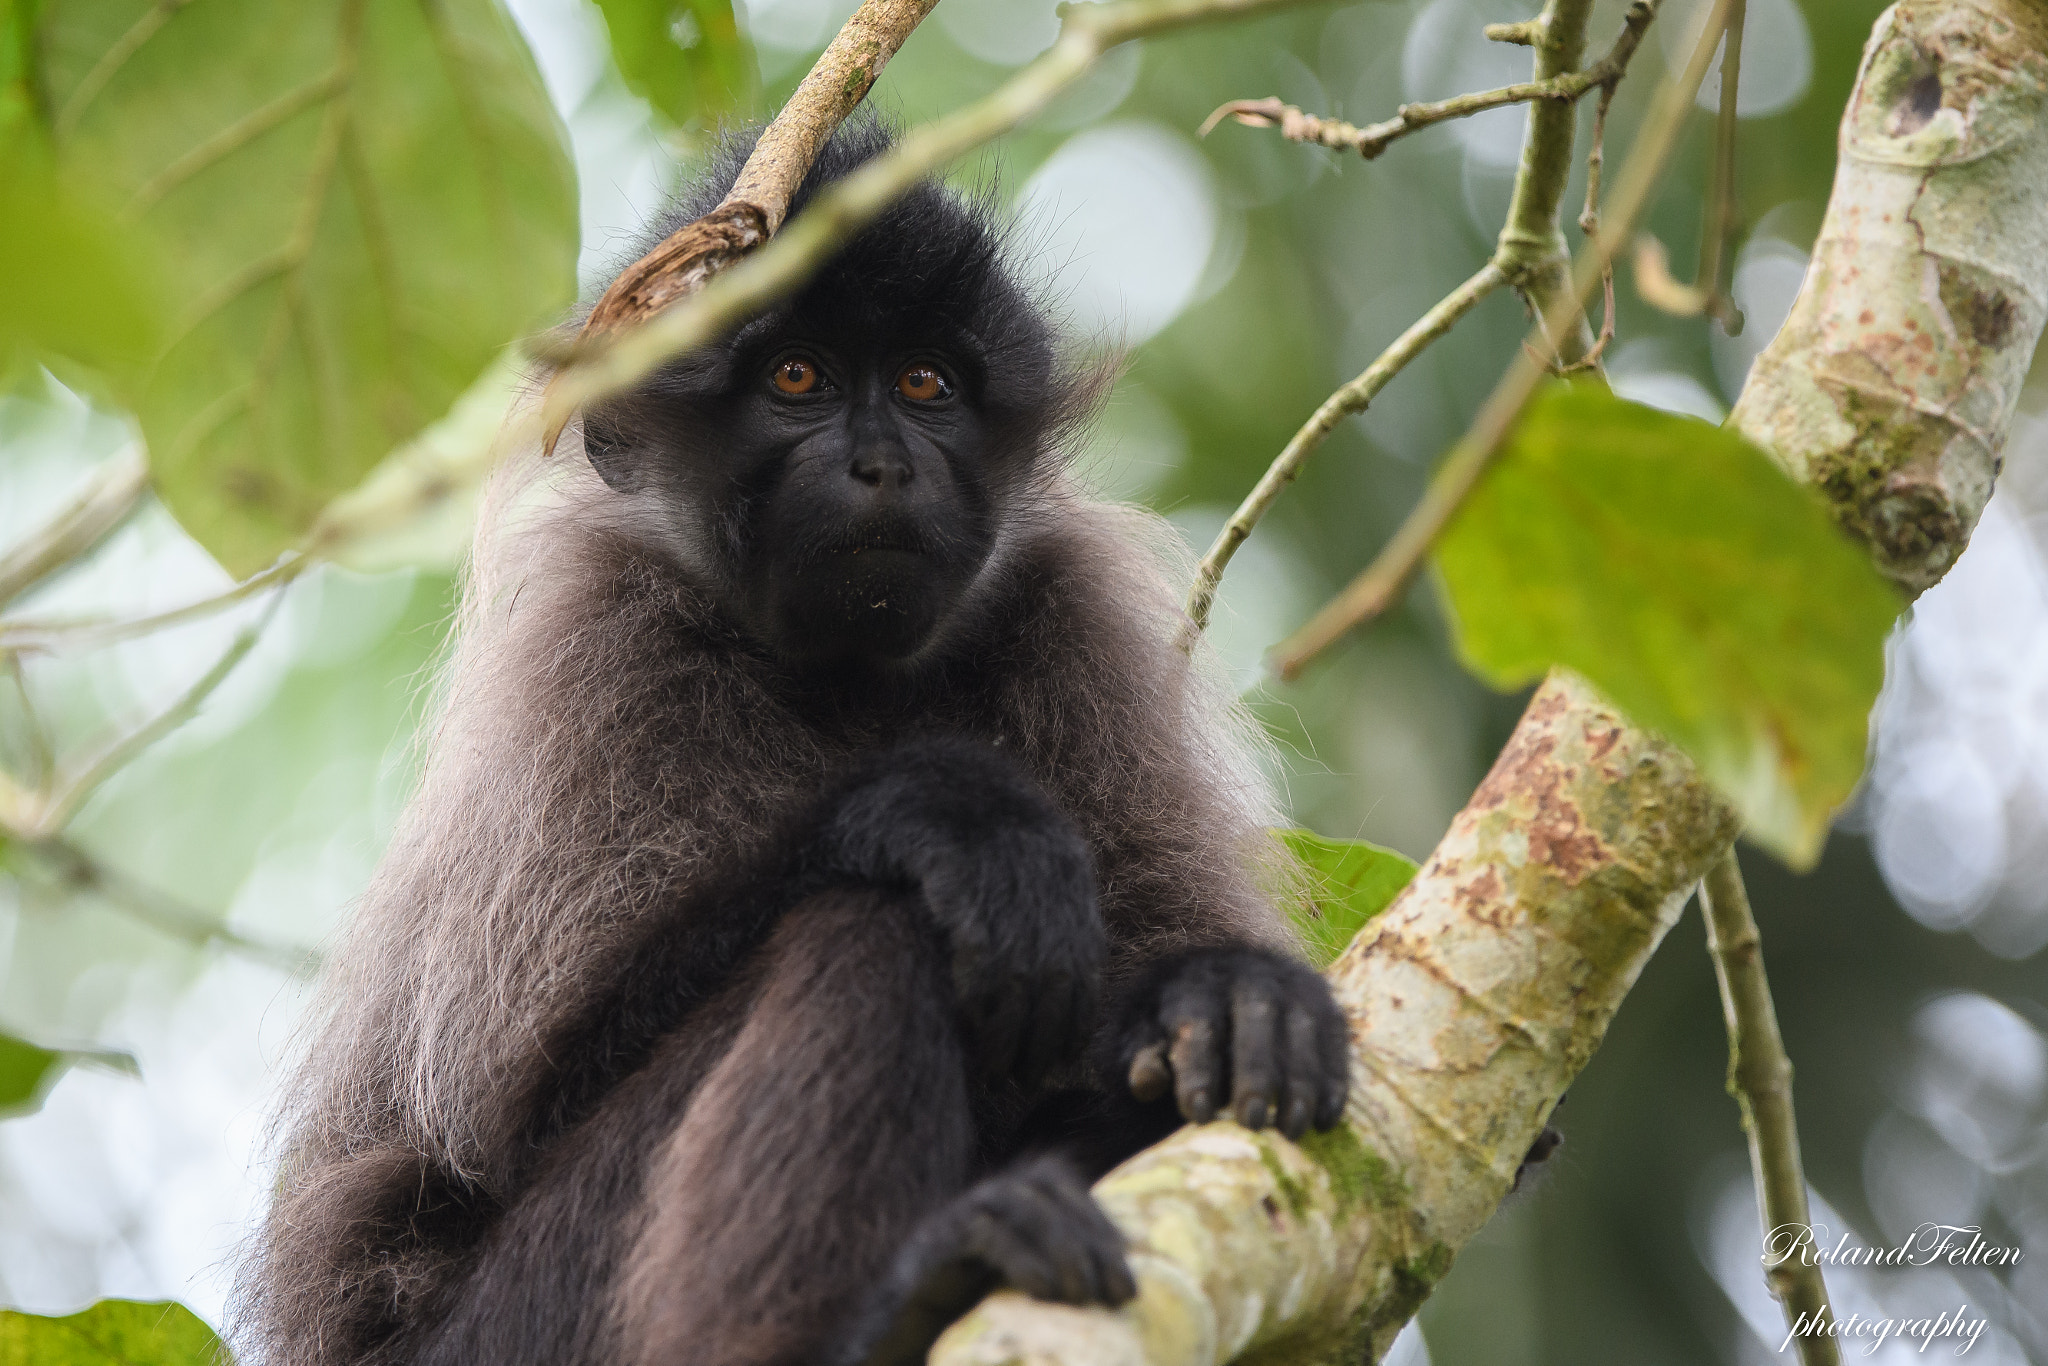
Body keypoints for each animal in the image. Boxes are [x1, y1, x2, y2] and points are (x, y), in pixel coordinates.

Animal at [235, 120, 1343, 1366]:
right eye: (796, 379)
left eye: (923, 384)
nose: (883, 465)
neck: (844, 680)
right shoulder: (604, 649)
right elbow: (509, 1117)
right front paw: (947, 815)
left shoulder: (1073, 619)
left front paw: (1221, 995)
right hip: (511, 1322)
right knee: (868, 923)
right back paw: (892, 1304)